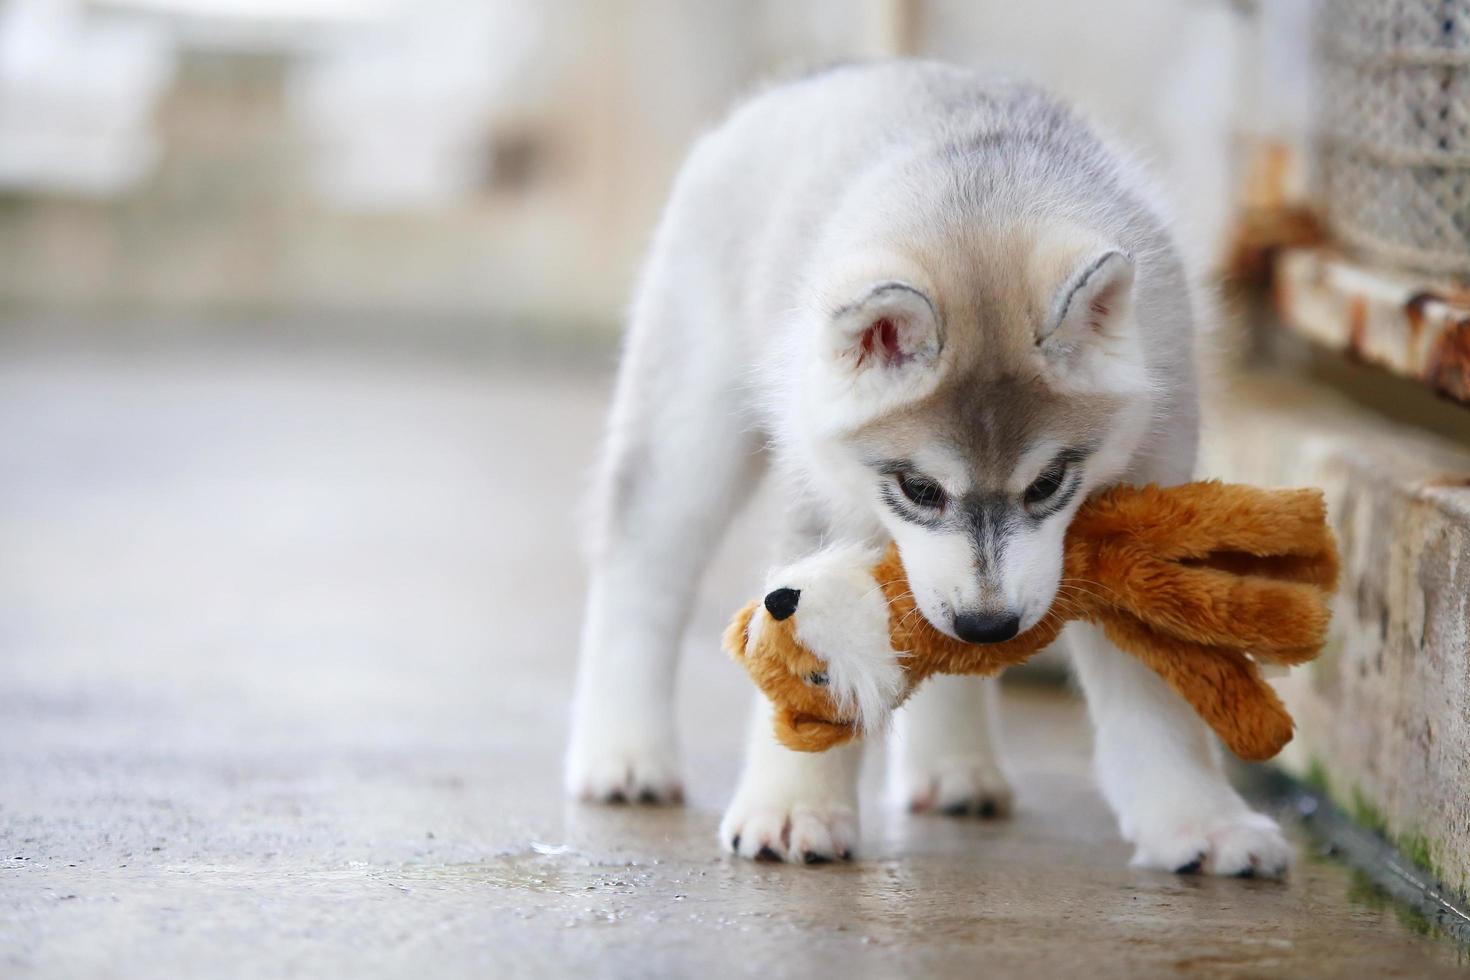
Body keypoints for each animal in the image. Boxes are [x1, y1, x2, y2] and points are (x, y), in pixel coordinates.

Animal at [567, 57, 1293, 875]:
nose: (989, 625)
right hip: (688, 425)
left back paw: (955, 769)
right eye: (918, 488)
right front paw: (795, 807)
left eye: (1048, 484)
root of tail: (817, 78)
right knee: (642, 572)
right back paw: (624, 755)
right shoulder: (825, 500)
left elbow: (1154, 684)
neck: (980, 199)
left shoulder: (1148, 494)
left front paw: (1197, 819)